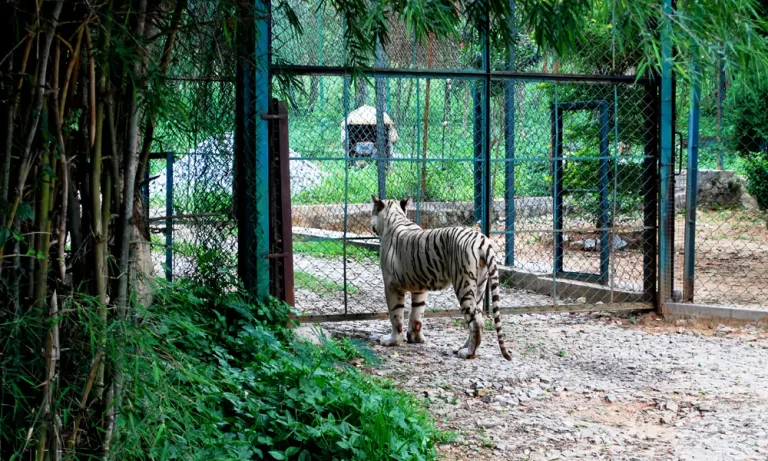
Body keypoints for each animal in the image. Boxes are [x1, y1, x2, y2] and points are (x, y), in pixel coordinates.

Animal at [370, 194, 510, 360]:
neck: (395, 217)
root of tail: (481, 239)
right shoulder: (419, 288)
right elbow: (417, 315)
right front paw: (415, 339)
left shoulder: (391, 286)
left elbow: (395, 316)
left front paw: (392, 341)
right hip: (480, 286)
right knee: (478, 315)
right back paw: (463, 347)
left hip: (464, 284)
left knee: (476, 321)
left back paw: (468, 353)